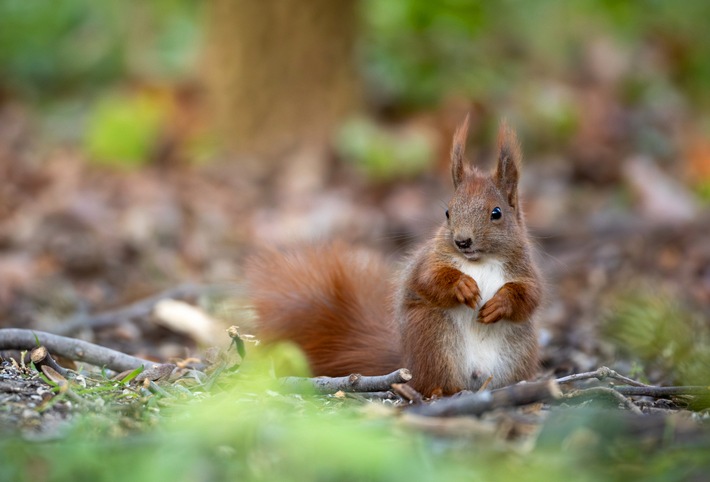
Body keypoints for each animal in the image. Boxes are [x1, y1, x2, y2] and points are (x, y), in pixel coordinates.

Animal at [246, 115, 542, 397]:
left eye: (496, 213)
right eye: (448, 212)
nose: (462, 241)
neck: (478, 261)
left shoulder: (525, 269)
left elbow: (530, 297)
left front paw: (500, 303)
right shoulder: (429, 260)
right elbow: (428, 278)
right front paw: (462, 285)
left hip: (518, 349)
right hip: (434, 338)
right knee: (432, 383)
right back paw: (443, 391)